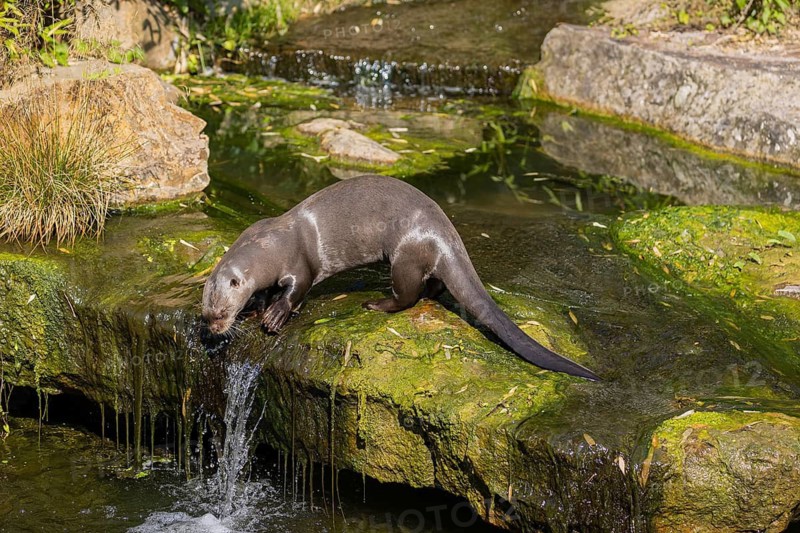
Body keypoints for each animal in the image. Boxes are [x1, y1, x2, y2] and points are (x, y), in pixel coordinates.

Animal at [202, 175, 599, 381]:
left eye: (221, 313)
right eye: (206, 315)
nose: (214, 330)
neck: (268, 245)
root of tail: (444, 230)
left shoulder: (298, 264)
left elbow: (296, 289)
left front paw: (275, 315)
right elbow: (264, 292)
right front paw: (256, 308)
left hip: (403, 254)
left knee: (408, 294)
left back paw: (376, 303)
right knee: (433, 283)